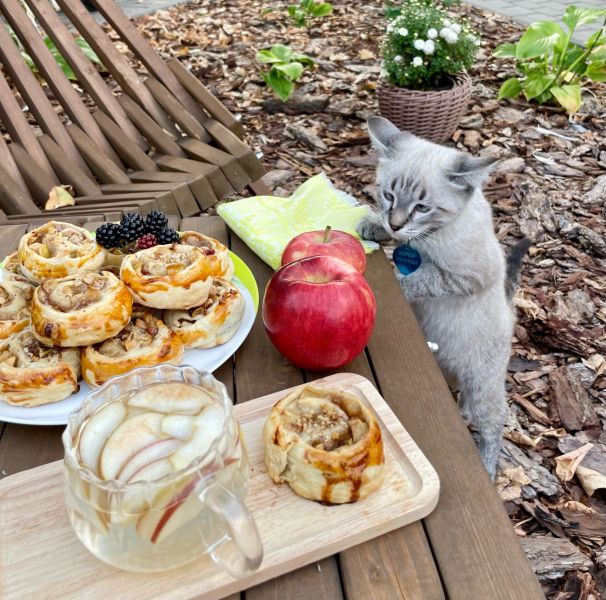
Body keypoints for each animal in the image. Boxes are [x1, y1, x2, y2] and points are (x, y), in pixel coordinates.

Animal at [358, 116, 528, 480]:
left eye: (422, 207)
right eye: (388, 195)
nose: (395, 223)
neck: (430, 235)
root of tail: (510, 309)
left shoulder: (467, 278)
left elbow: (421, 279)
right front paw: (375, 225)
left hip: (482, 385)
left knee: (495, 422)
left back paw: (488, 467)